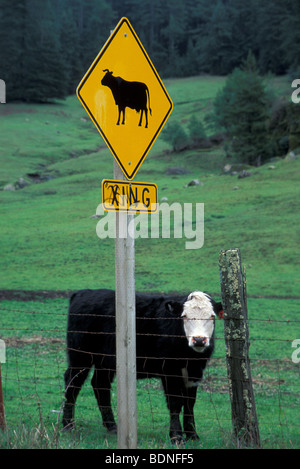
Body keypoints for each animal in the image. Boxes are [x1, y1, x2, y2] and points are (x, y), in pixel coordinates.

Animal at [62, 288, 223, 442]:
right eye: (184, 316)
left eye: (212, 316)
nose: (199, 340)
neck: (190, 357)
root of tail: (83, 292)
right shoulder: (169, 371)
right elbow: (175, 403)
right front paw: (176, 436)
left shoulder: (195, 372)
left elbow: (190, 404)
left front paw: (192, 435)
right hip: (80, 356)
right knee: (72, 383)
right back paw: (68, 425)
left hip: (105, 362)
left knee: (100, 385)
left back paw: (112, 426)